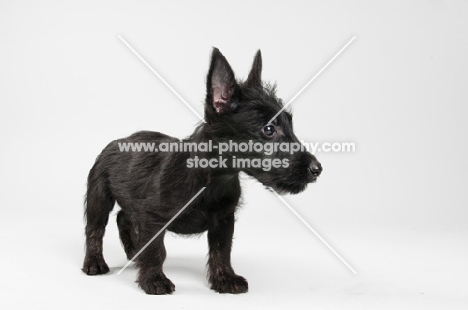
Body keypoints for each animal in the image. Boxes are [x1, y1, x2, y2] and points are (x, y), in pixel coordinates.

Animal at [82, 47, 322, 294]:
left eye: (290, 125)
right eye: (268, 129)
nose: (317, 169)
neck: (215, 179)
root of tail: (117, 141)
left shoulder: (224, 220)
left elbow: (221, 251)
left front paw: (224, 278)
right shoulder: (153, 219)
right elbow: (156, 251)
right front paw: (154, 280)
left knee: (123, 217)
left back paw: (133, 254)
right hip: (99, 197)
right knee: (95, 229)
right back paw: (95, 262)